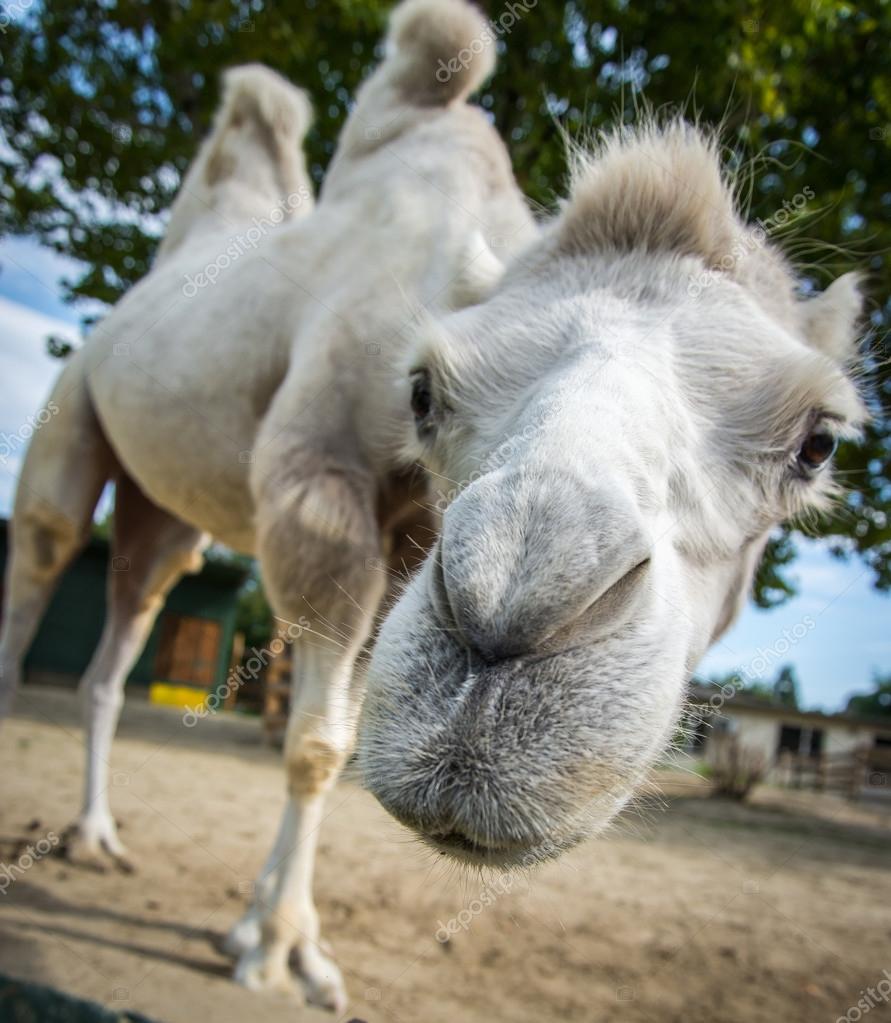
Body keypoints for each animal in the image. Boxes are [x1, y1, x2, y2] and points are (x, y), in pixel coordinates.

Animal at [0, 0, 863, 1010]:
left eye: (817, 442)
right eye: (421, 391)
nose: (510, 612)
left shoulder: (411, 535)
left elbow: (330, 727)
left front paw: (259, 927)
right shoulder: (318, 493)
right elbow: (317, 744)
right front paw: (283, 952)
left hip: (163, 512)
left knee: (126, 624)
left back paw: (96, 837)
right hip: (69, 417)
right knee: (43, 559)